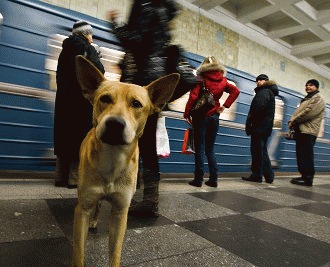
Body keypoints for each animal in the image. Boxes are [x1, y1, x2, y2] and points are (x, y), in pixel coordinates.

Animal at [72, 55, 179, 266]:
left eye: (136, 104)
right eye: (105, 98)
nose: (114, 124)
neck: (112, 160)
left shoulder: (120, 213)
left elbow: (115, 253)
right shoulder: (82, 208)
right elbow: (79, 252)